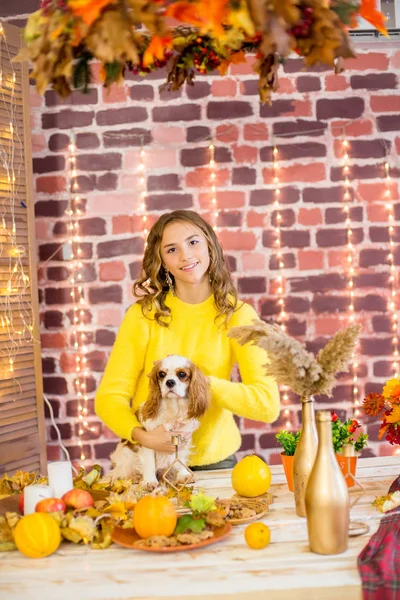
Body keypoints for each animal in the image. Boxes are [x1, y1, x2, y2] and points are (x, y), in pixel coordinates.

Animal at [108, 354, 211, 486]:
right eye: (161, 374)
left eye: (182, 374)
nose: (169, 382)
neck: (173, 408)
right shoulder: (149, 441)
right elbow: (149, 463)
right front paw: (149, 482)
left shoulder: (182, 438)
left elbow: (180, 458)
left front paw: (183, 475)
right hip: (125, 456)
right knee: (118, 473)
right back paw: (134, 477)